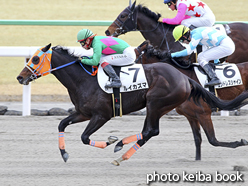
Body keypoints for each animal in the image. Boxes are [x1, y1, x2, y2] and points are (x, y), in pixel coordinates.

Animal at [17, 44, 248, 166]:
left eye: (35, 59)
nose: (20, 77)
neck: (83, 80)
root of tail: (184, 78)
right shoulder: (83, 113)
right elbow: (61, 124)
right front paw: (64, 153)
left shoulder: (101, 115)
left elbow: (84, 137)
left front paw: (110, 140)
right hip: (160, 106)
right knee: (148, 132)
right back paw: (122, 150)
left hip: (156, 103)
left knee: (150, 131)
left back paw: (120, 149)